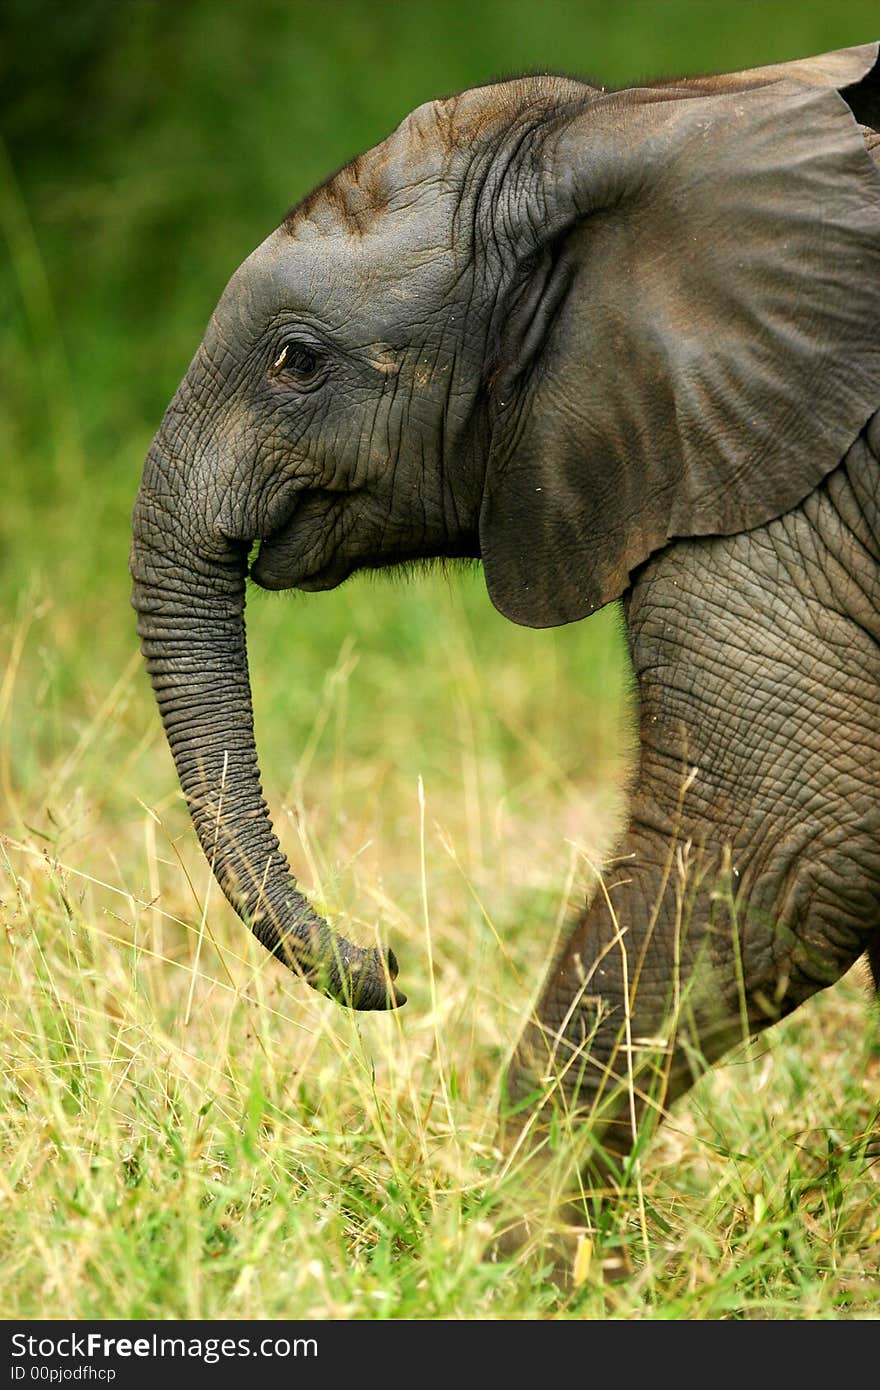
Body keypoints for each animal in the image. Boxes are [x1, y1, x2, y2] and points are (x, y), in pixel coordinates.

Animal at [130, 43, 878, 1212]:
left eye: (296, 361)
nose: (395, 965)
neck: (621, 130)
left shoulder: (788, 474)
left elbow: (779, 842)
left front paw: (519, 1238)